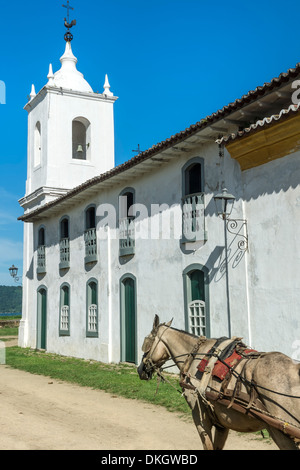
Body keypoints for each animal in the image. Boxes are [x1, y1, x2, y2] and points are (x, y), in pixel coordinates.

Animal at [137, 314, 300, 450]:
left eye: (147, 342)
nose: (140, 369)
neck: (196, 355)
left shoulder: (200, 416)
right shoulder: (222, 422)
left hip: (279, 430)